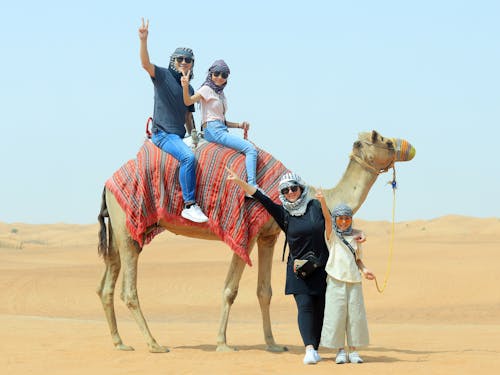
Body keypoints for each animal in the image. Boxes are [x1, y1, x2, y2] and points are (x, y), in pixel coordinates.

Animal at [96, 129, 414, 352]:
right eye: (384, 140)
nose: (409, 147)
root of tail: (107, 185)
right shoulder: (245, 233)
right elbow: (230, 289)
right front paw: (222, 343)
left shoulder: (268, 236)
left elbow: (265, 292)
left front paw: (273, 343)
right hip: (129, 227)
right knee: (128, 289)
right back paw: (154, 344)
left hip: (119, 231)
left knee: (106, 285)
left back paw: (119, 342)